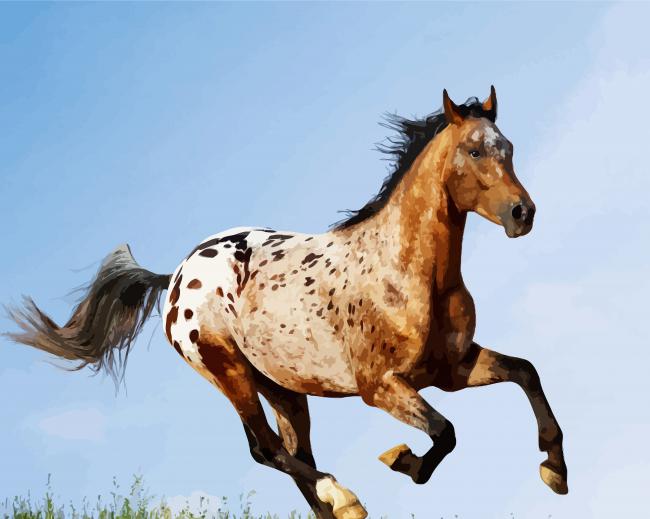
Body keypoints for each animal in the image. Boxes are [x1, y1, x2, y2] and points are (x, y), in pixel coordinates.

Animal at [6, 87, 568, 519]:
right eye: (474, 151)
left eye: (508, 147)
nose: (523, 213)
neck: (409, 275)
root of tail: (176, 276)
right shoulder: (381, 387)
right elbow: (445, 434)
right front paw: (400, 460)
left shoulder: (452, 369)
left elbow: (526, 372)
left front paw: (554, 469)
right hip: (227, 371)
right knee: (266, 449)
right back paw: (344, 497)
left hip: (283, 389)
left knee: (293, 455)